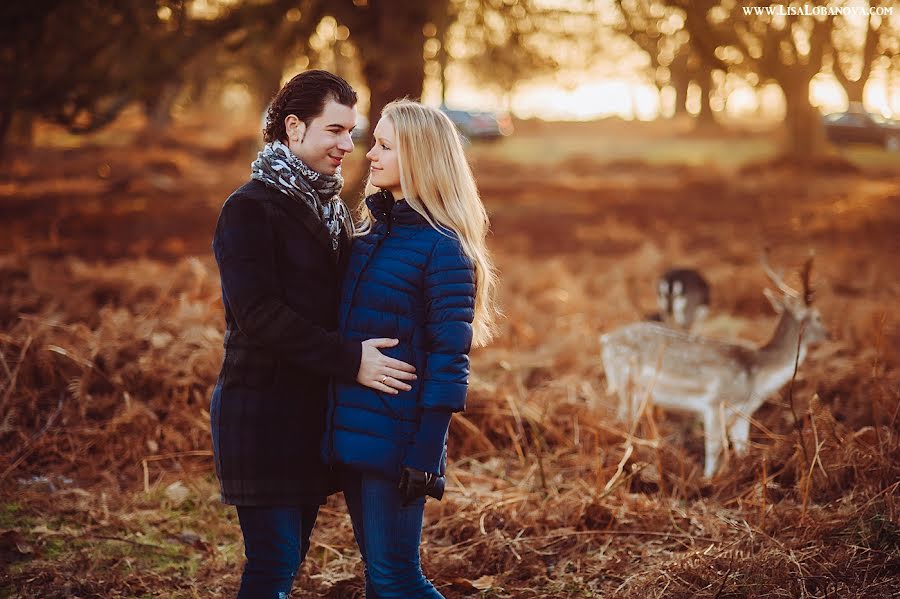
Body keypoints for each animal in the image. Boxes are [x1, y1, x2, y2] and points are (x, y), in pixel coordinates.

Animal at [600, 253, 828, 478]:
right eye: (817, 316)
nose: (829, 334)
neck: (756, 376)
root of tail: (605, 340)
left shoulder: (744, 413)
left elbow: (742, 448)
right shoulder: (714, 403)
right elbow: (714, 447)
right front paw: (709, 480)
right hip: (625, 383)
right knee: (621, 418)